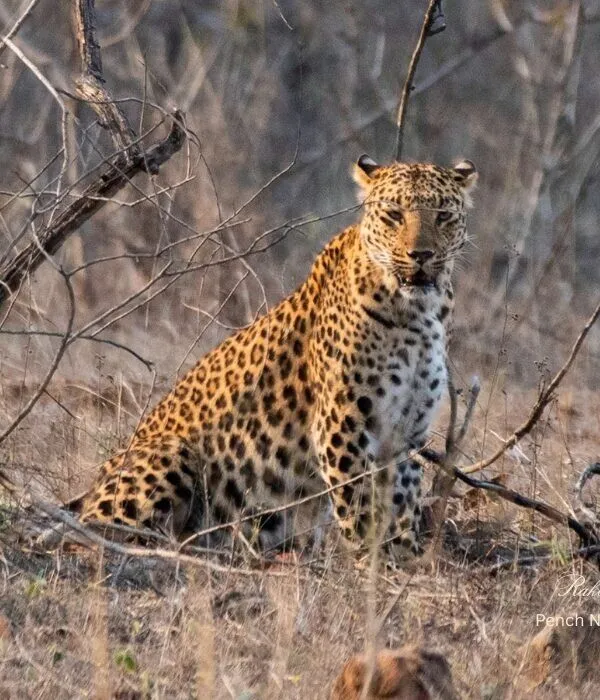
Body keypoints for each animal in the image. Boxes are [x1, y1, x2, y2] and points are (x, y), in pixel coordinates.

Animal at [79, 155, 477, 556]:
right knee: (100, 530)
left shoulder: (406, 431)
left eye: (443, 215)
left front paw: (407, 558)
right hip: (170, 454)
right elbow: (360, 506)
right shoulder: (342, 423)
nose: (421, 255)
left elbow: (402, 502)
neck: (420, 313)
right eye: (394, 214)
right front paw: (372, 561)